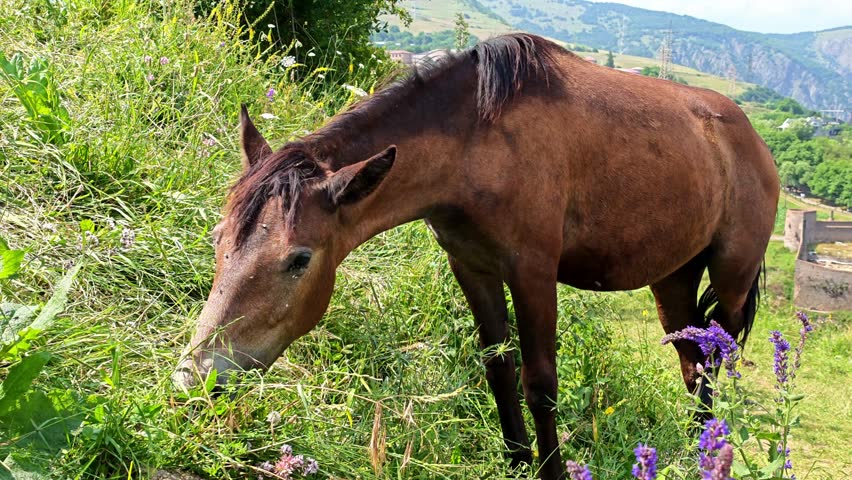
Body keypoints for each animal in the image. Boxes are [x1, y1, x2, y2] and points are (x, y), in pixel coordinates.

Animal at [174, 34, 779, 479]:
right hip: (671, 281)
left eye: (298, 259)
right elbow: (498, 368)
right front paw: (515, 461)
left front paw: (549, 469)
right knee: (694, 366)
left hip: (730, 279)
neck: (480, 142)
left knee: (717, 360)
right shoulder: (472, 266)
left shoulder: (533, 274)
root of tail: (753, 141)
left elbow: (540, 384)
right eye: (218, 238)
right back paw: (697, 449)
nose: (197, 377)